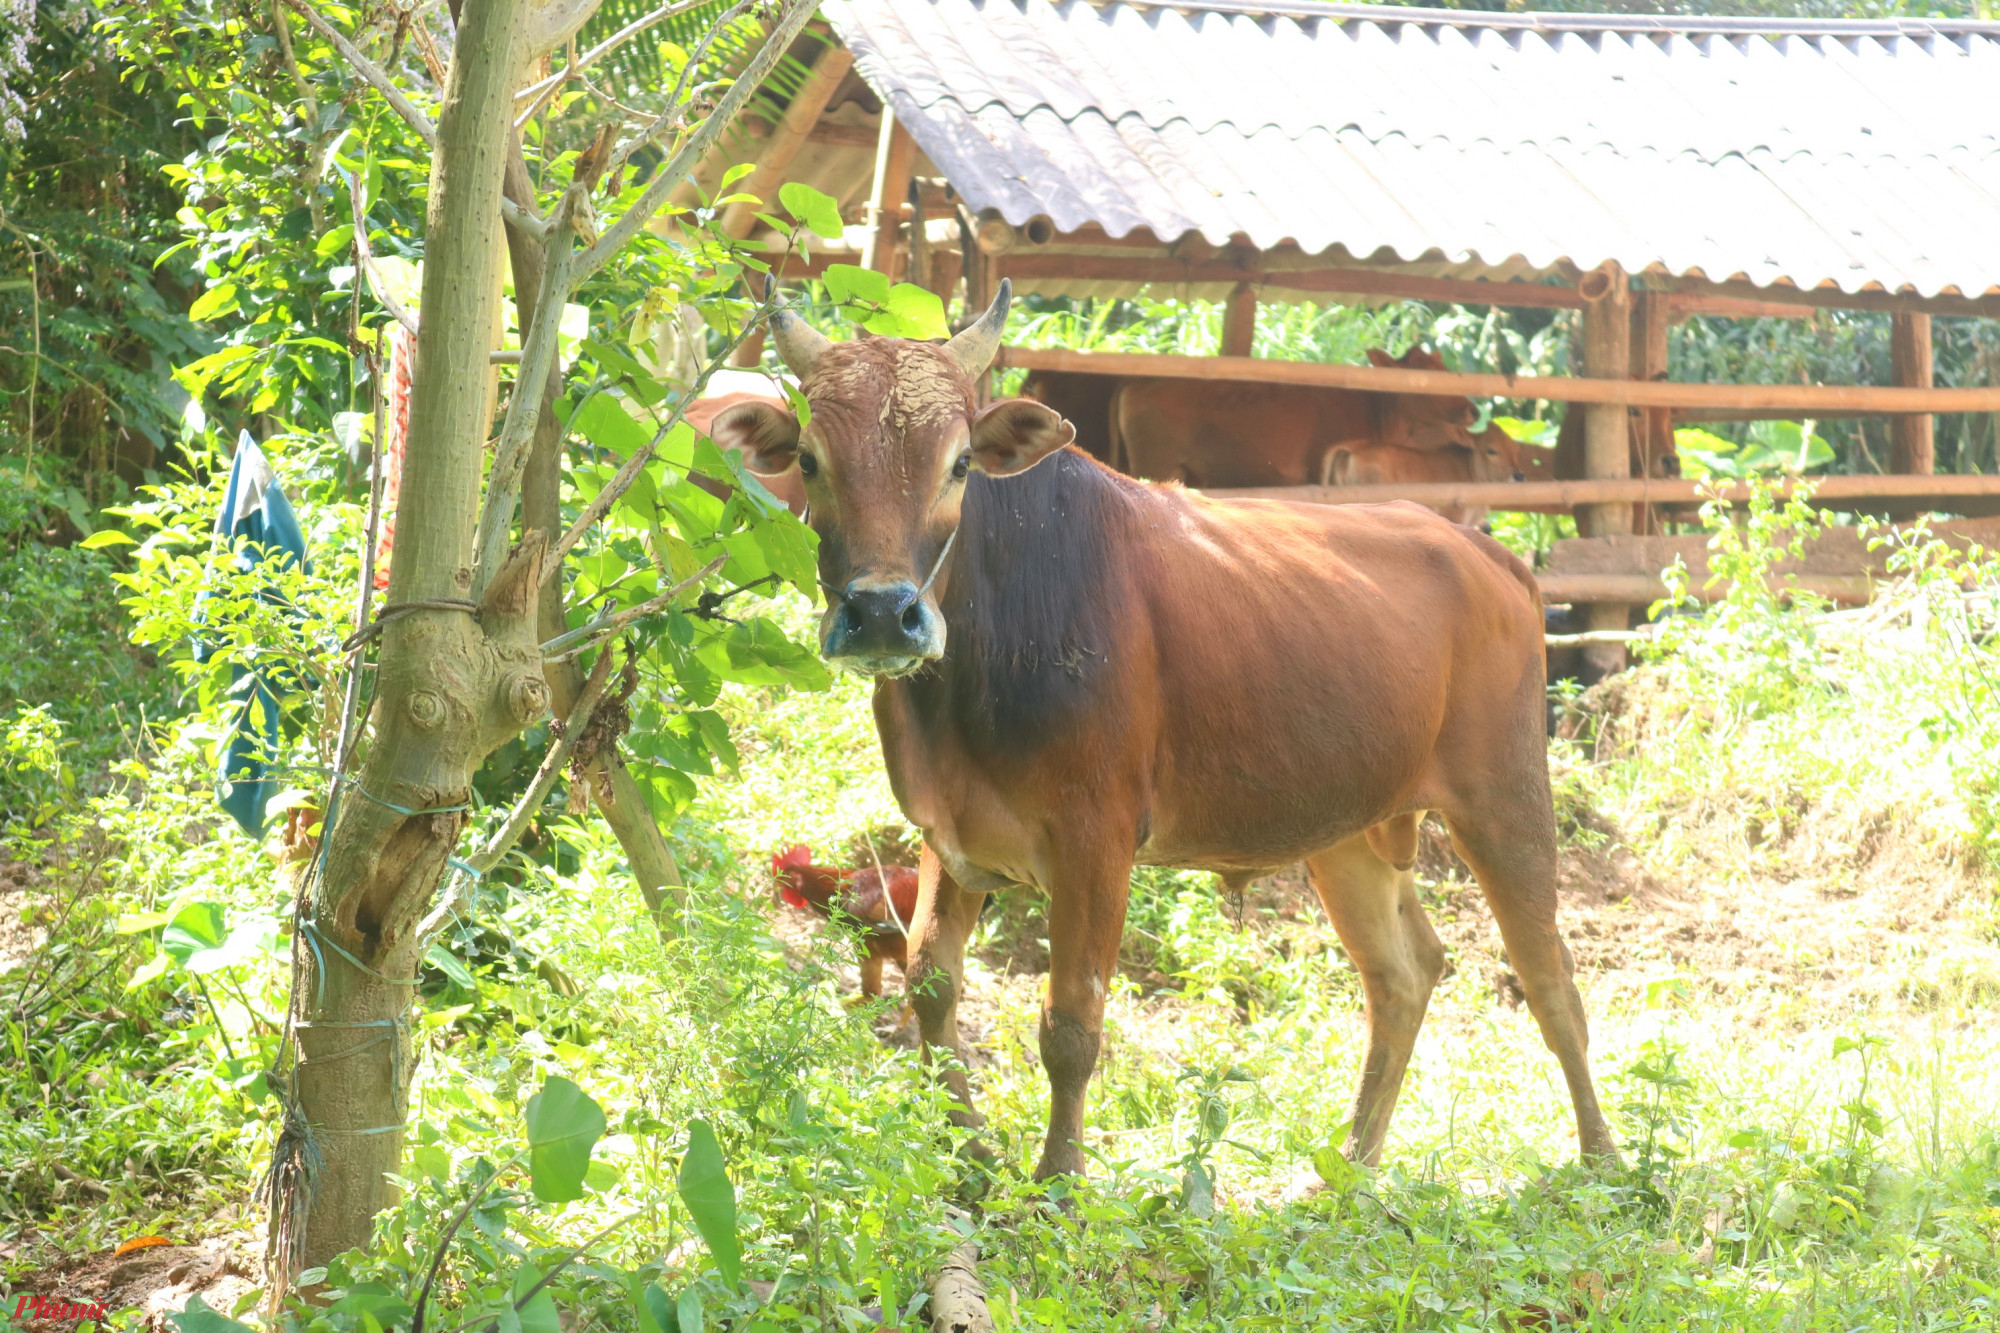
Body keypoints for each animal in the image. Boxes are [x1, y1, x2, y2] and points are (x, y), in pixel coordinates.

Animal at [712, 280, 1616, 1176]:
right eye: (809, 460)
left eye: (959, 463)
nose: (881, 615)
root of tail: (1492, 555)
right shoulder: (952, 835)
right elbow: (931, 985)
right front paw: (970, 1159)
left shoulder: (1096, 840)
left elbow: (1071, 1025)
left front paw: (1058, 1183)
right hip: (1347, 830)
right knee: (1405, 973)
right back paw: (1350, 1167)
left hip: (1504, 800)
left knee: (1551, 977)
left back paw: (1603, 1160)